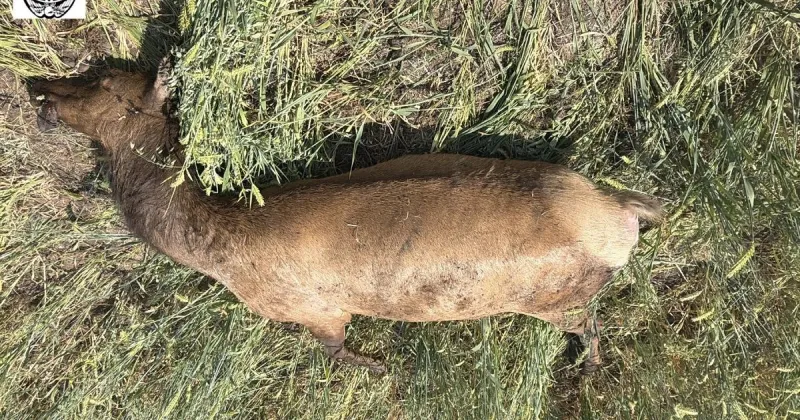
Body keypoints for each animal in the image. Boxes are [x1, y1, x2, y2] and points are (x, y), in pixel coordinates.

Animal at [30, 62, 662, 374]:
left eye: (101, 82)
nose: (40, 90)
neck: (214, 244)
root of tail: (621, 213)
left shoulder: (314, 309)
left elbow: (335, 350)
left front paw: (378, 367)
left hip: (556, 297)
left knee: (590, 323)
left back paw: (588, 368)